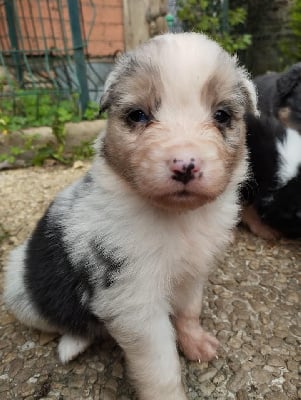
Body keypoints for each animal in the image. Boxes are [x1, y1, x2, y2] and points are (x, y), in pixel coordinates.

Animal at [3, 32, 256, 400]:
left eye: (222, 115)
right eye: (138, 115)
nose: (185, 165)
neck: (175, 217)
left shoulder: (192, 272)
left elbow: (188, 312)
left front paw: (196, 344)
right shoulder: (133, 300)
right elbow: (160, 367)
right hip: (21, 292)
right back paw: (73, 342)